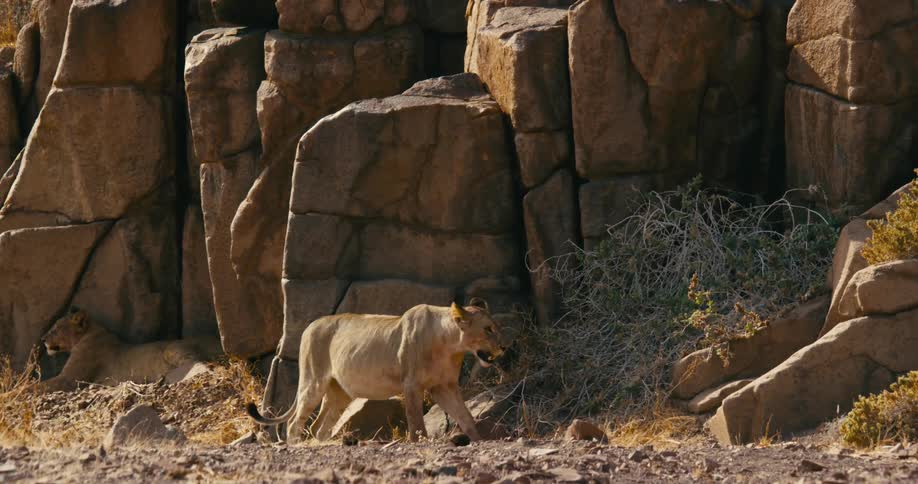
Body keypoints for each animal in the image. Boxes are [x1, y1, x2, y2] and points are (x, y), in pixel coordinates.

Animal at [37, 307, 223, 393]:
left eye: (55, 329)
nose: (43, 339)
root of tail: (216, 340)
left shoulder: (70, 379)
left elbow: (40, 385)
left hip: (172, 348)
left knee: (198, 362)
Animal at [247, 299, 510, 443]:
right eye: (488, 329)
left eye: (496, 327)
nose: (504, 346)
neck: (450, 345)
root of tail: (309, 326)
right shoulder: (411, 385)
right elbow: (416, 420)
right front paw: (419, 442)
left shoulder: (444, 386)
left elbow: (465, 416)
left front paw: (479, 440)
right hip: (313, 382)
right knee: (295, 423)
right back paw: (297, 446)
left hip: (339, 392)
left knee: (318, 427)